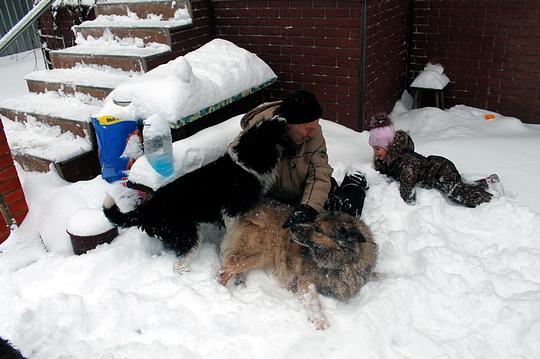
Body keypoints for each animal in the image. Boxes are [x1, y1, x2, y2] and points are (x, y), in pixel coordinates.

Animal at [103, 118, 284, 262]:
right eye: (268, 128)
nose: (282, 119)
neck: (244, 163)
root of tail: (149, 207)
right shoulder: (231, 213)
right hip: (186, 234)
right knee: (180, 264)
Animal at [217, 201, 378, 330]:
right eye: (314, 222)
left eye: (318, 229)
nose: (292, 226)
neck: (339, 263)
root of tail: (250, 212)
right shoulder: (306, 280)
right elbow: (313, 300)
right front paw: (320, 321)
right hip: (261, 253)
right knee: (223, 270)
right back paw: (221, 292)